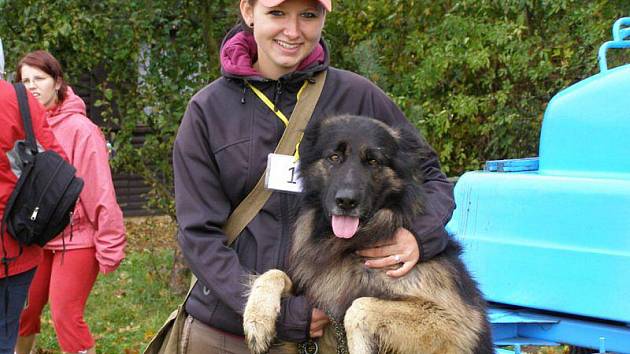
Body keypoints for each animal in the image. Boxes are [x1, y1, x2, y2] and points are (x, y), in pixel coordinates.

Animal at [244, 115, 496, 352]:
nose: (346, 202)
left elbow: (358, 307)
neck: (351, 247)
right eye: (334, 157)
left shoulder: (454, 323)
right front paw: (256, 319)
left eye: (373, 161)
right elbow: (273, 273)